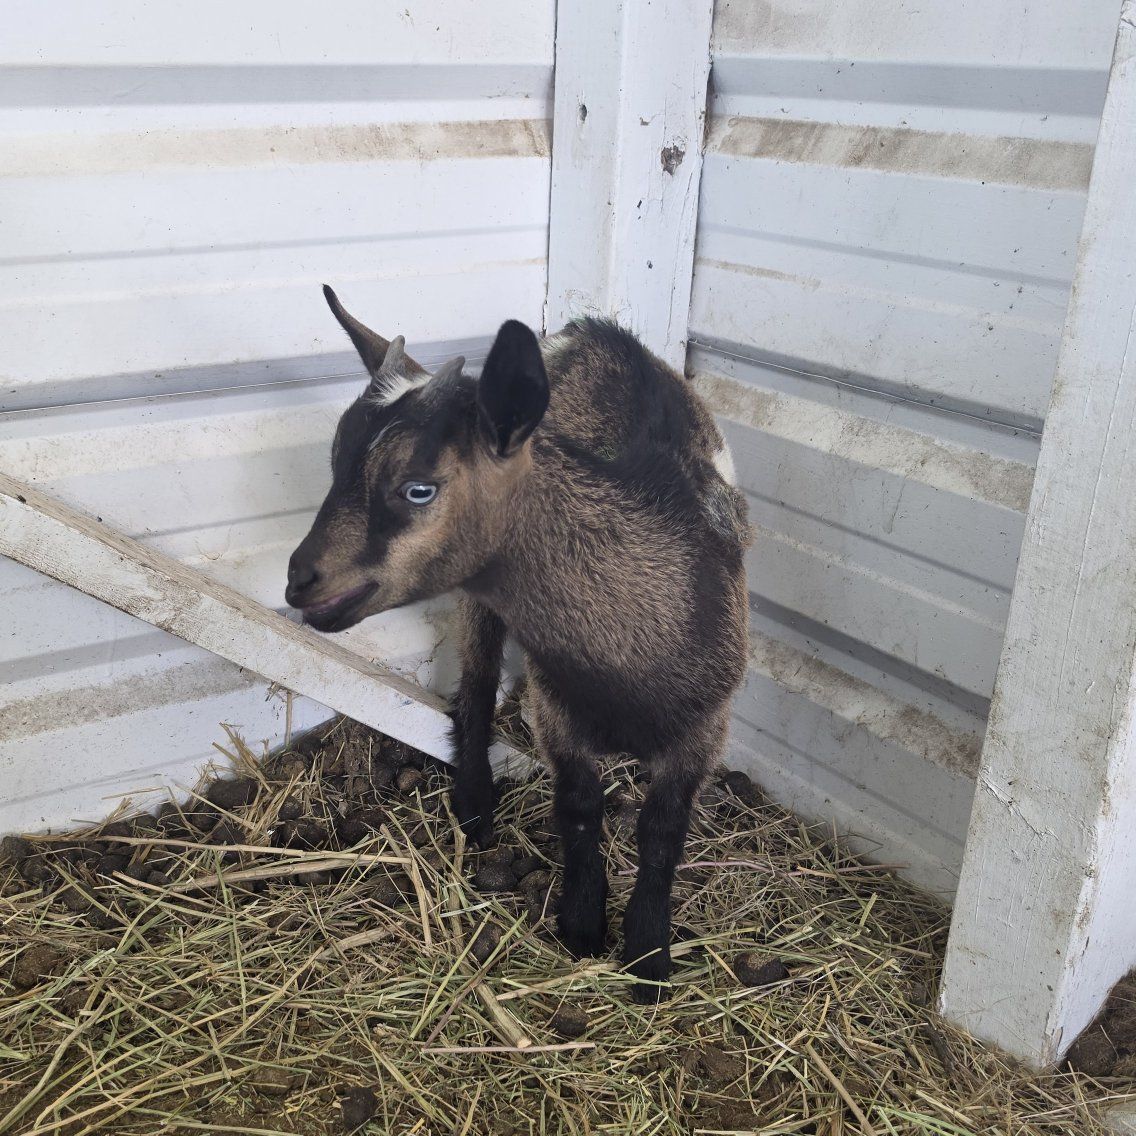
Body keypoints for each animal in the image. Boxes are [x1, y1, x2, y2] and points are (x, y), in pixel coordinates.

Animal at [286, 287, 750, 999]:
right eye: (336, 461)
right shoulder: (554, 704)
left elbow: (663, 827)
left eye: (418, 488)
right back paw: (475, 806)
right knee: (477, 681)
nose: (299, 580)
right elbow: (579, 804)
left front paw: (648, 955)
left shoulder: (708, 722)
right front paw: (583, 925)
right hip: (482, 600)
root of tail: (592, 333)